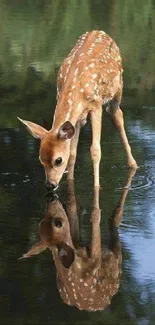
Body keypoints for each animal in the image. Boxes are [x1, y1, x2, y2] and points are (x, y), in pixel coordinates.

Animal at [17, 29, 137, 190]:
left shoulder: (96, 104)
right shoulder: (78, 116)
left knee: (117, 115)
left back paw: (133, 164)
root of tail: (99, 31)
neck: (76, 86)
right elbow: (73, 153)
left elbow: (95, 150)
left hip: (118, 88)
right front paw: (70, 180)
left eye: (58, 160)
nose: (50, 185)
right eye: (41, 159)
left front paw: (97, 186)